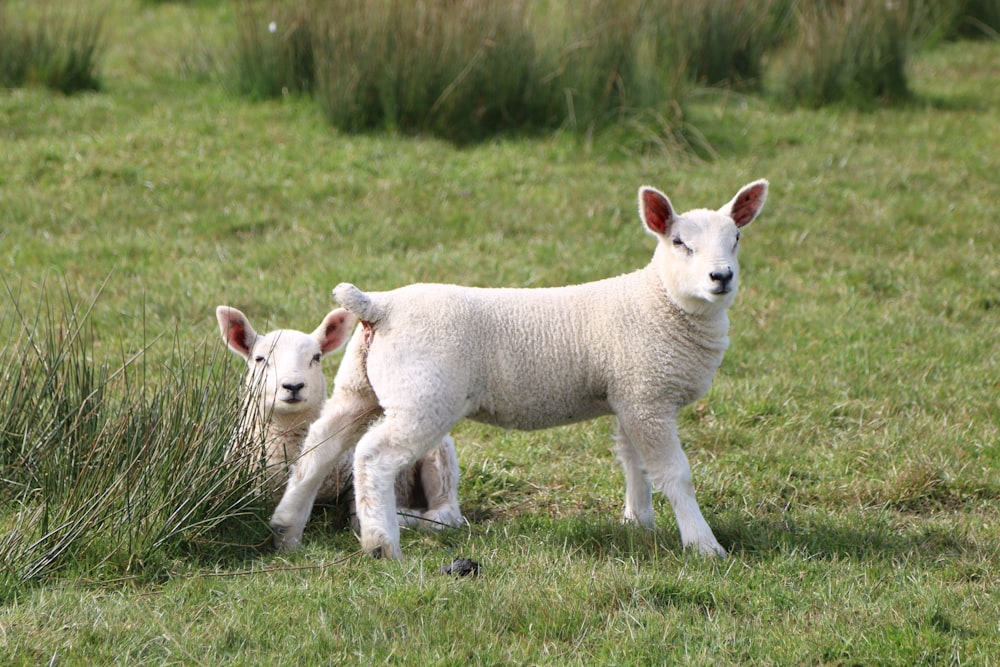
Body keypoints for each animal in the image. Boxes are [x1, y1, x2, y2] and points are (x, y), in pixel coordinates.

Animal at [216, 308, 464, 532]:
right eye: (259, 359)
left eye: (316, 357)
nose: (293, 386)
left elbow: (360, 516)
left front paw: (399, 516)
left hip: (438, 452)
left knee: (448, 508)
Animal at [270, 179, 768, 560]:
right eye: (680, 243)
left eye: (737, 240)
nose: (721, 277)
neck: (658, 302)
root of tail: (379, 305)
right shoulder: (648, 397)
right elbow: (674, 473)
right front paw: (704, 546)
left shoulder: (631, 394)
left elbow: (634, 465)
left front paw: (637, 524)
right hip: (423, 397)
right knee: (372, 457)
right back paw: (381, 545)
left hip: (358, 386)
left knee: (317, 451)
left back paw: (286, 530)